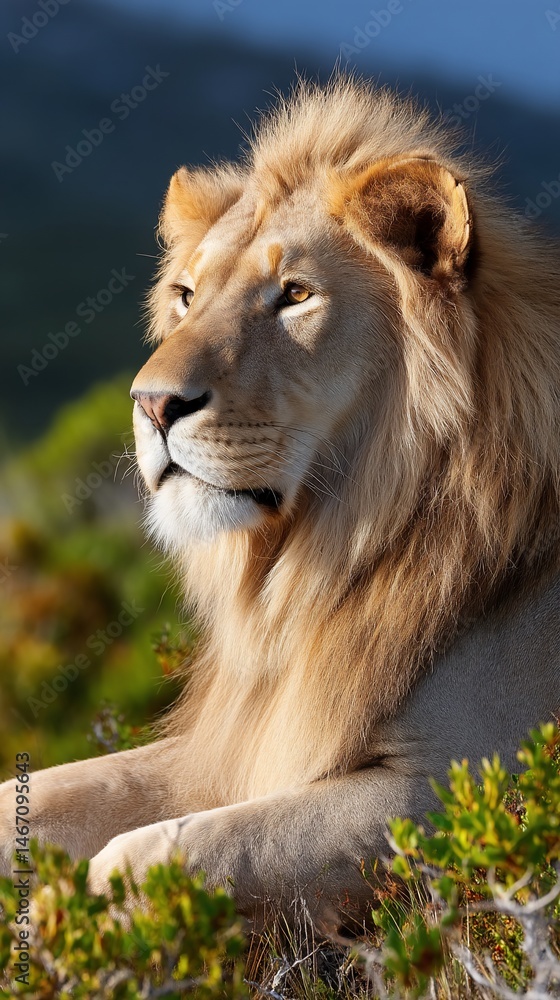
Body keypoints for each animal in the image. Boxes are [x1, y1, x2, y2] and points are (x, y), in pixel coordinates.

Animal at [1, 77, 559, 931]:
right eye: (187, 295)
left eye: (295, 295)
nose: (152, 405)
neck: (315, 562)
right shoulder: (244, 738)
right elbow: (41, 795)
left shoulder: (468, 784)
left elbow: (165, 851)